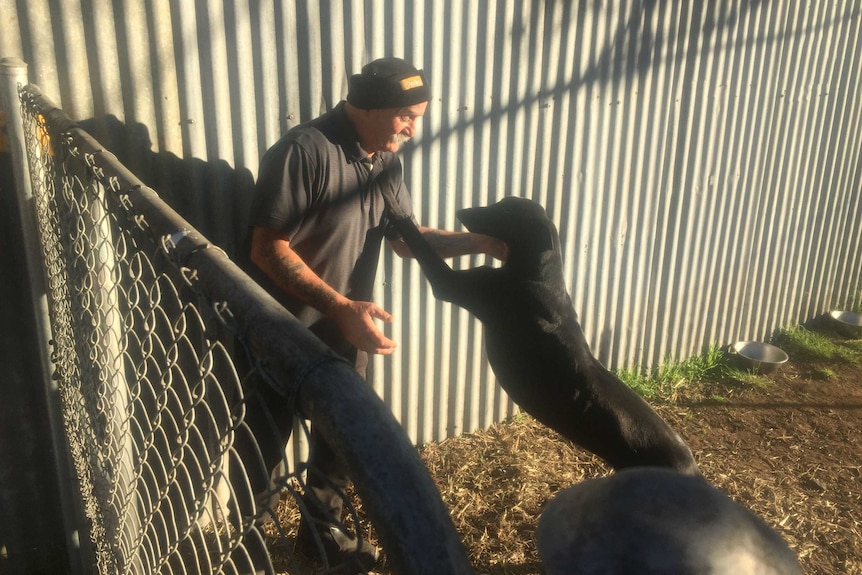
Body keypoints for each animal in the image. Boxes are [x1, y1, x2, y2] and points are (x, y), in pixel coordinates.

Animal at [384, 195, 704, 476]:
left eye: (505, 211)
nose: (462, 210)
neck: (538, 275)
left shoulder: (453, 285)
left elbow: (419, 242)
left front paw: (393, 206)